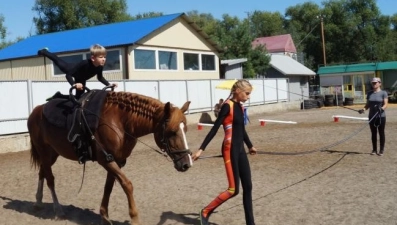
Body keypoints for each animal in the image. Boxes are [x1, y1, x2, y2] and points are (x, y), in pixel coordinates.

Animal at [27, 90, 192, 224]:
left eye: (185, 130)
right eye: (172, 132)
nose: (186, 164)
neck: (121, 122)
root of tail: (36, 110)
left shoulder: (116, 161)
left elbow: (109, 187)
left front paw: (104, 216)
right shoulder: (106, 160)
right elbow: (127, 184)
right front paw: (134, 218)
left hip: (52, 153)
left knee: (42, 172)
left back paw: (38, 202)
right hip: (44, 151)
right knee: (50, 178)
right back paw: (58, 210)